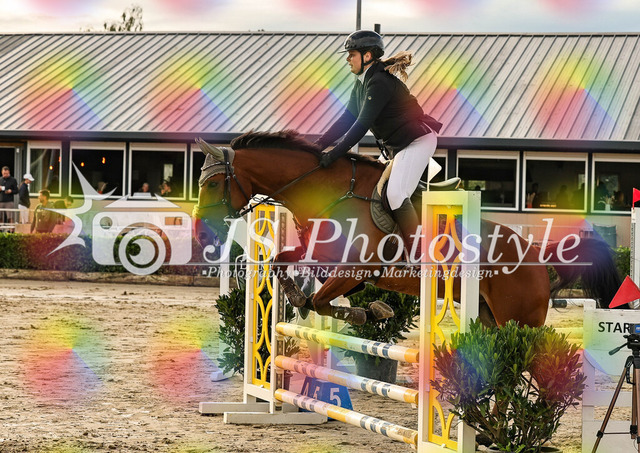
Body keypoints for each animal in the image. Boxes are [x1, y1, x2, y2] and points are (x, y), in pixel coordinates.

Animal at [193, 130, 623, 327]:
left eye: (212, 184)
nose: (202, 233)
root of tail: (536, 255)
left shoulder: (357, 268)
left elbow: (322, 300)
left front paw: (367, 312)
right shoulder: (322, 256)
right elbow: (283, 265)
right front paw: (303, 301)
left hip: (518, 320)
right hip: (489, 317)